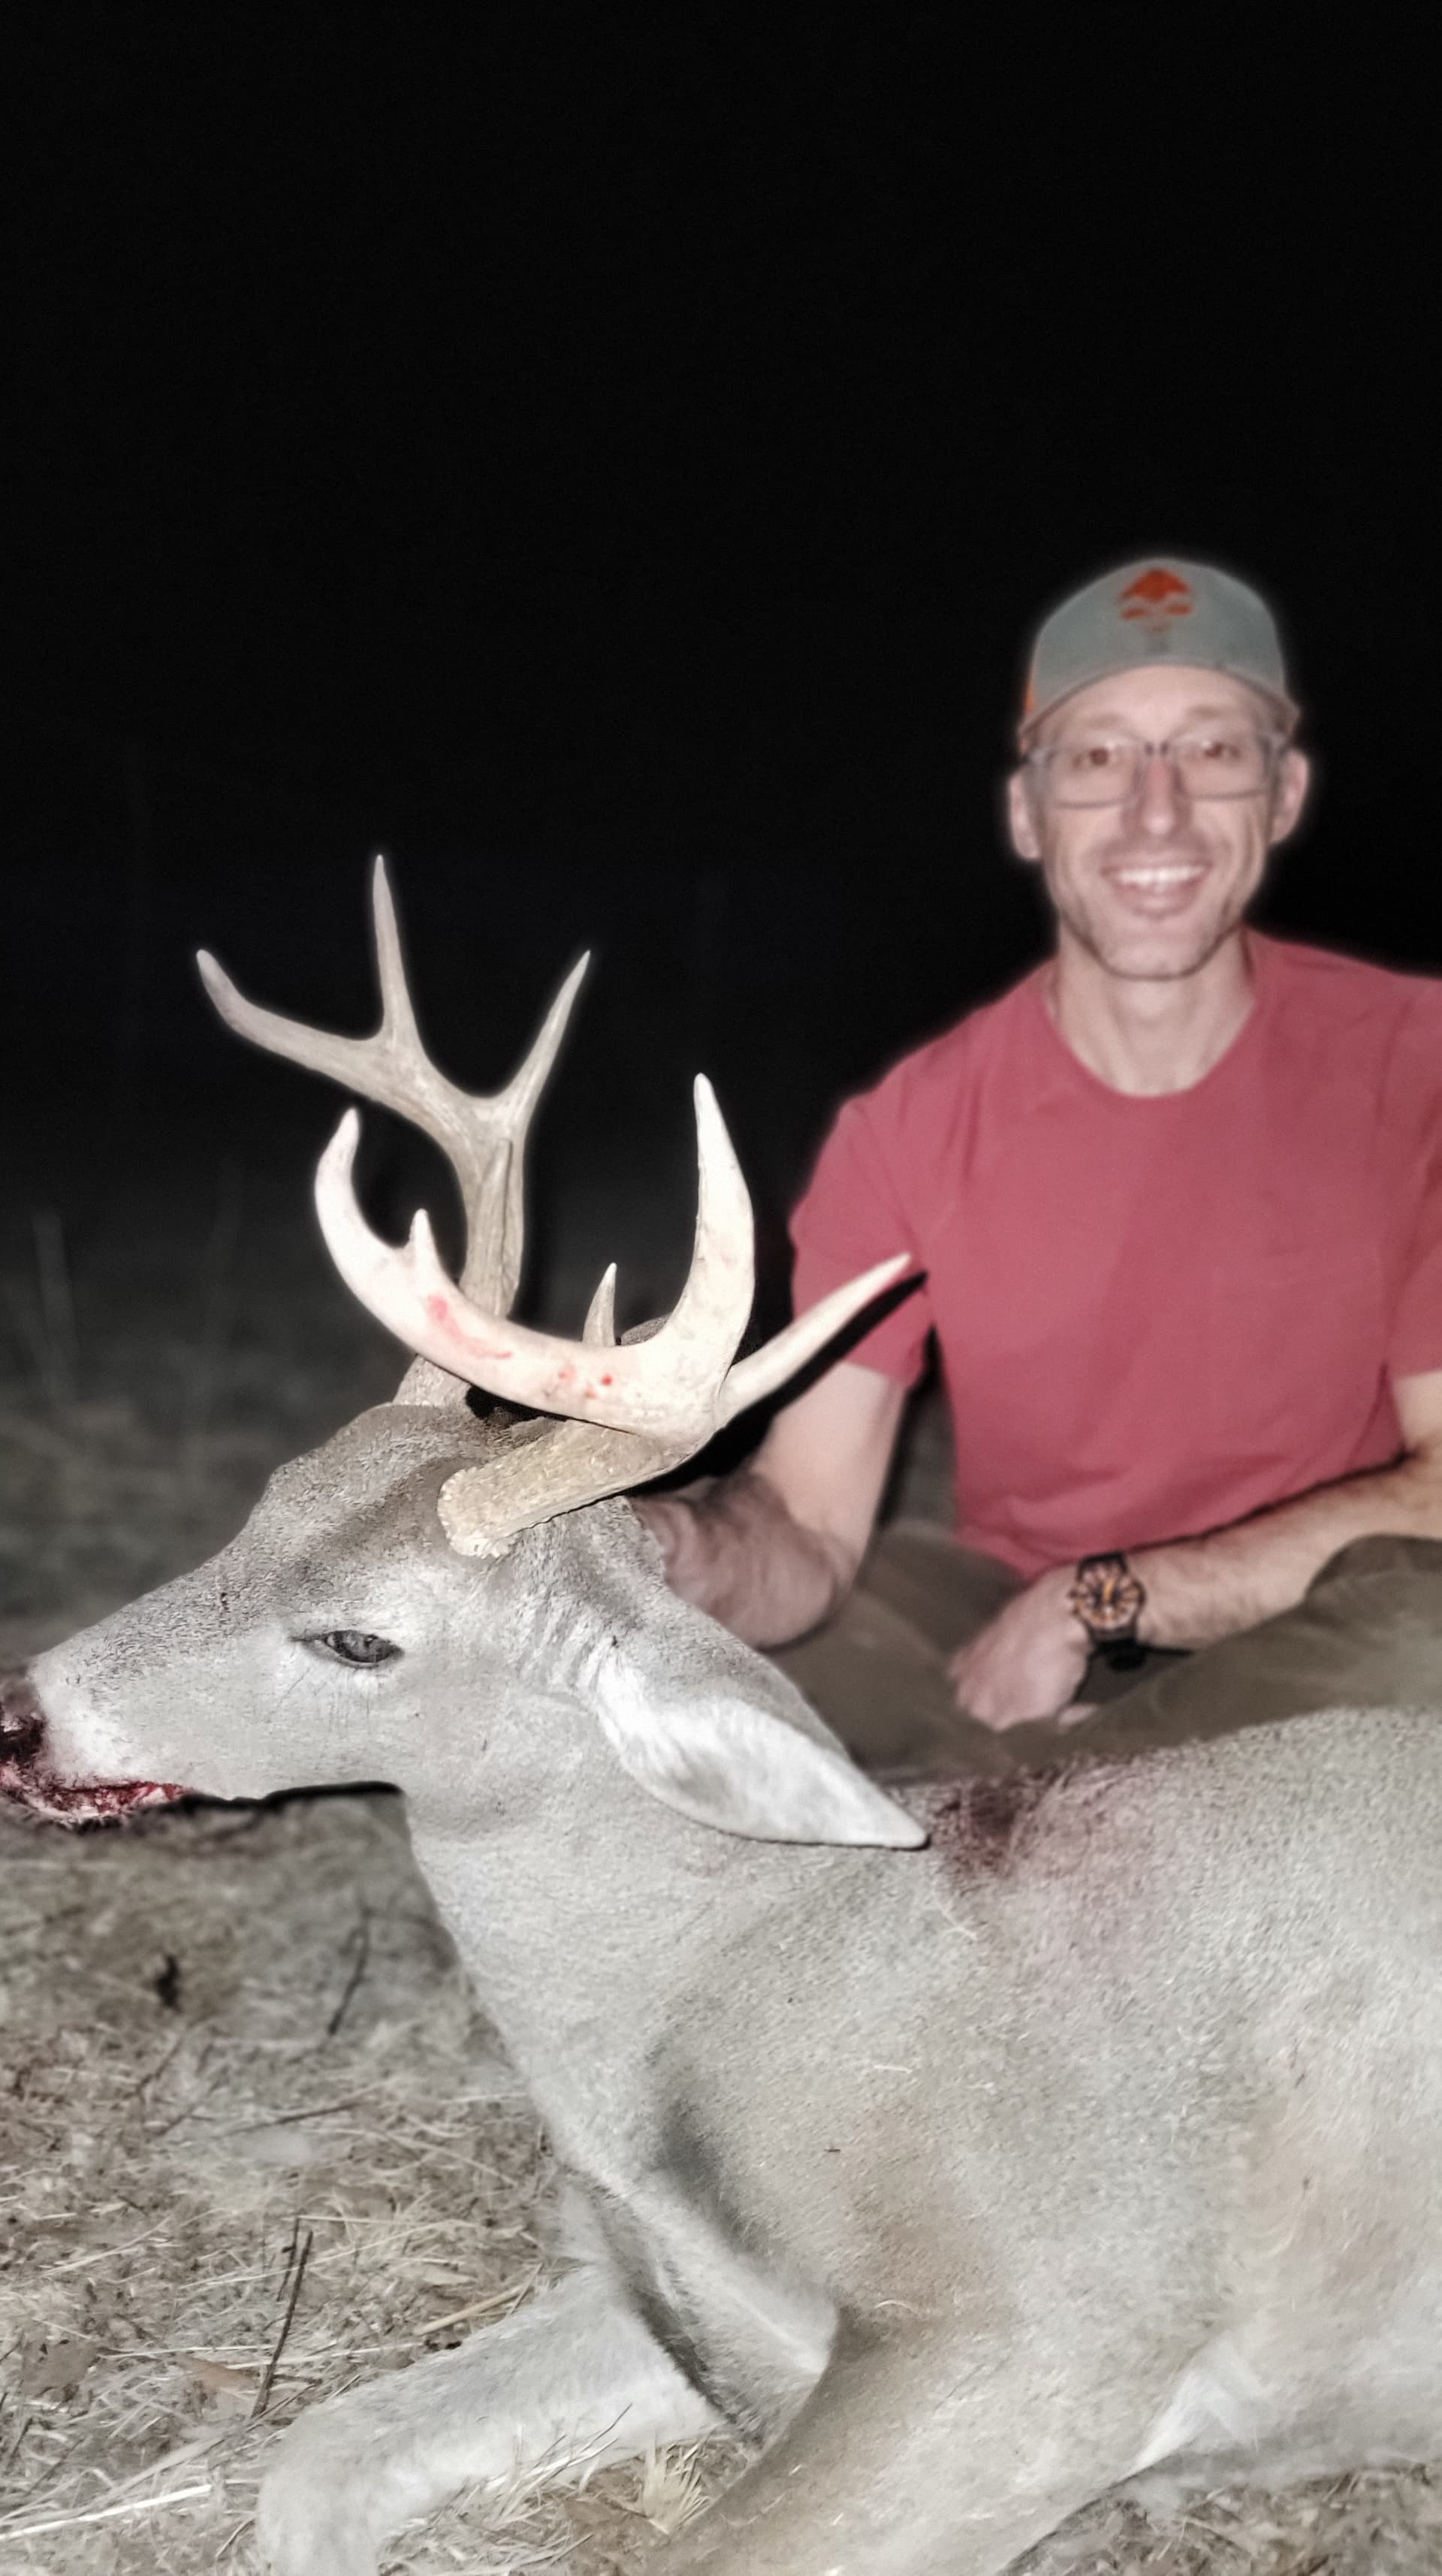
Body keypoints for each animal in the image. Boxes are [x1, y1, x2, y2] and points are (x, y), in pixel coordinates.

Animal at [5, 860, 1442, 2576]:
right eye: (267, 1496)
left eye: (360, 1639)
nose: (26, 1715)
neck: (722, 1983)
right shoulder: (675, 2298)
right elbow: (320, 2458)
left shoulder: (1055, 2320)